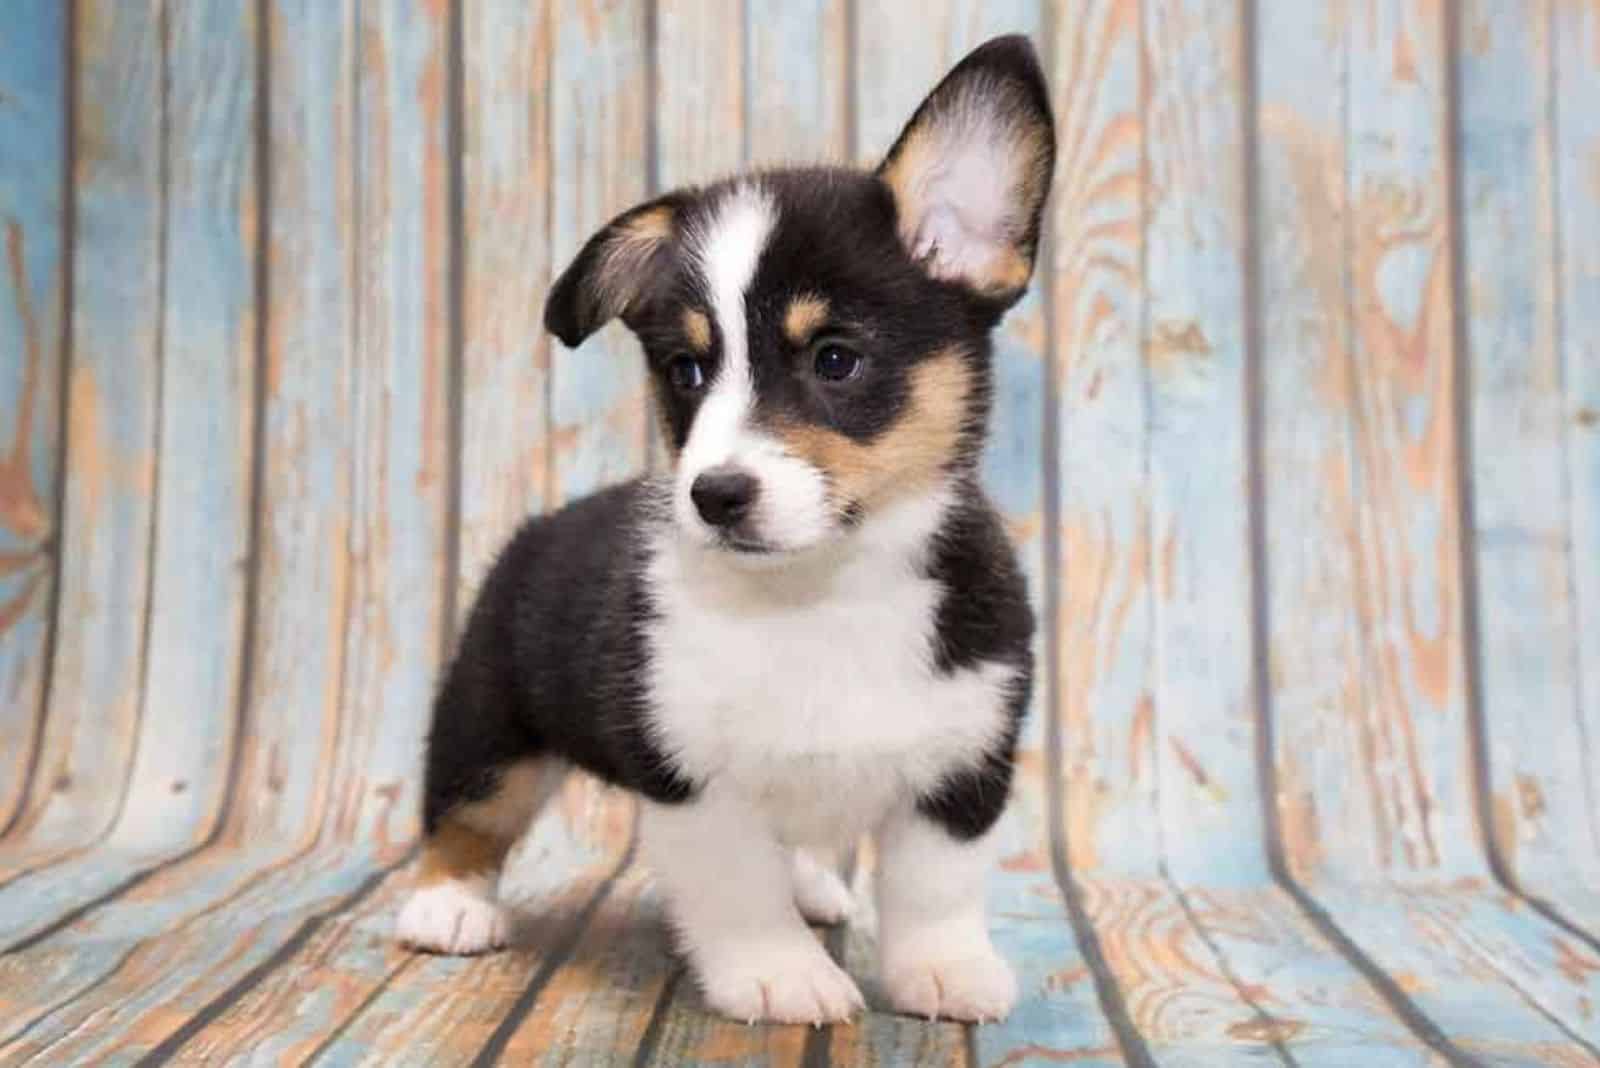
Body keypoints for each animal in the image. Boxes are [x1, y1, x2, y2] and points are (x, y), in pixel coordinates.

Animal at [396, 35, 1049, 1023]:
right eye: (686, 370)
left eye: (835, 359)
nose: (715, 495)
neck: (821, 592)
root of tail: (542, 526)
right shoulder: (688, 775)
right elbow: (741, 891)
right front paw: (780, 976)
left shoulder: (965, 763)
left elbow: (933, 886)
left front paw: (945, 969)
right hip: (489, 714)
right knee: (465, 809)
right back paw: (446, 905)